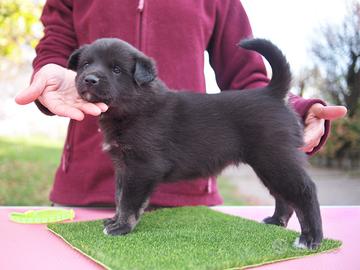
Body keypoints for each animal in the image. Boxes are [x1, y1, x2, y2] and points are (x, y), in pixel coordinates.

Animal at [67, 37, 324, 249]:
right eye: (86, 64)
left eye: (117, 69)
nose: (89, 79)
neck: (132, 108)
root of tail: (272, 93)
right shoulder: (123, 166)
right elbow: (120, 196)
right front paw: (114, 219)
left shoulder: (142, 167)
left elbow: (130, 201)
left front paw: (121, 227)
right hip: (270, 164)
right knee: (283, 196)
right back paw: (276, 221)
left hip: (275, 158)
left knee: (304, 191)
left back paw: (310, 239)